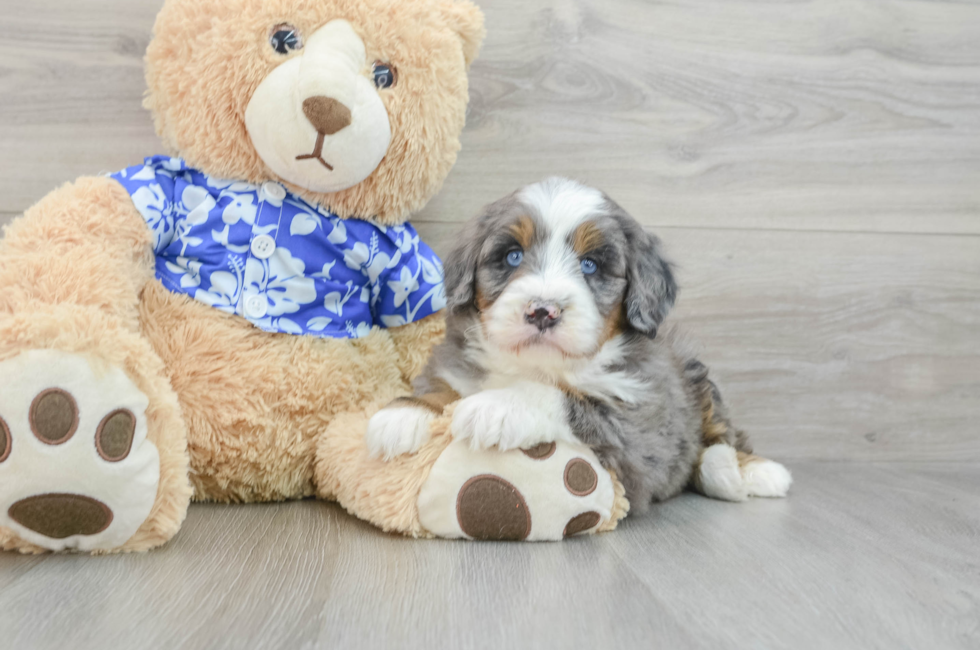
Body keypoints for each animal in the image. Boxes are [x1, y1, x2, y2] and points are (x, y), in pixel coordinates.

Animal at [366, 176, 788, 506]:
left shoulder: (642, 425)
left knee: (722, 435)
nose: (542, 311)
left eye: (591, 265)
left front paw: (497, 406)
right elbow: (439, 387)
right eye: (512, 255)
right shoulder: (455, 365)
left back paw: (748, 472)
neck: (535, 364)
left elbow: (566, 397)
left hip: (695, 372)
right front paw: (403, 415)